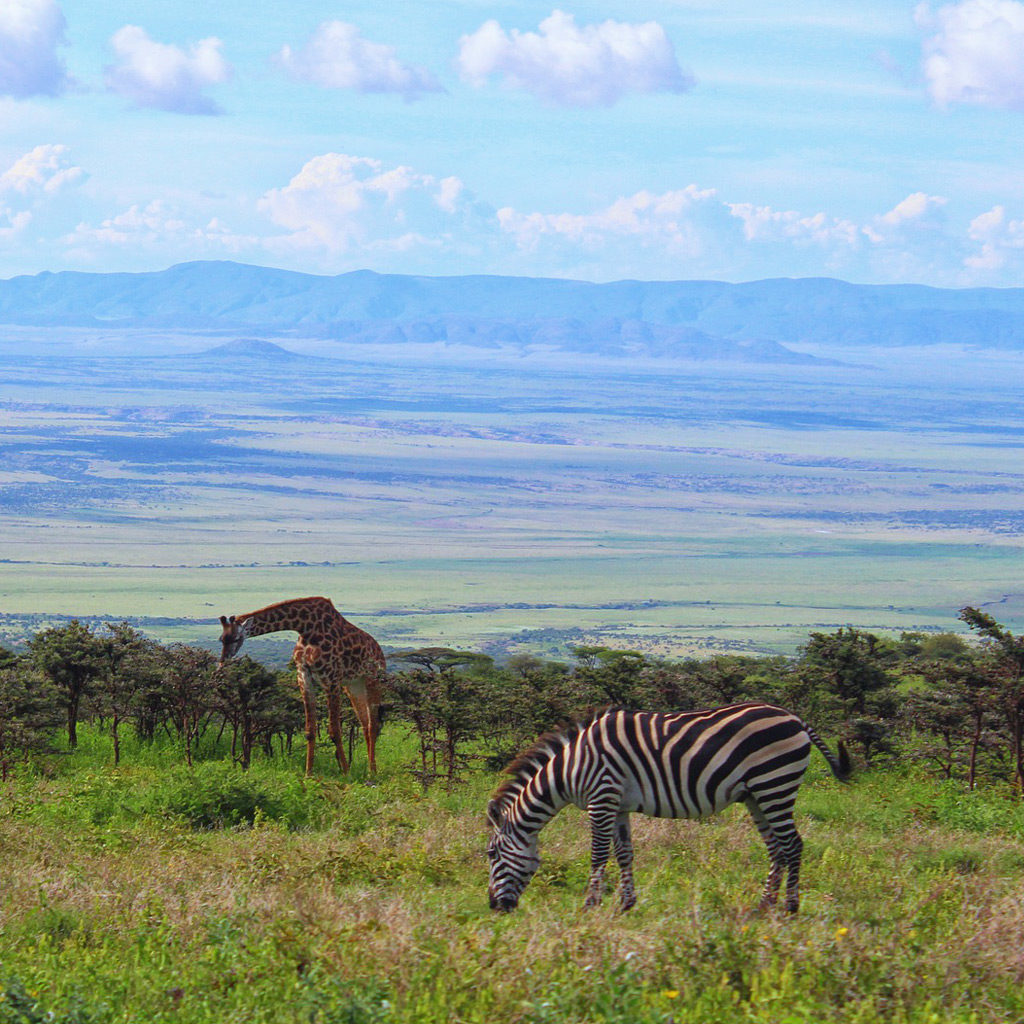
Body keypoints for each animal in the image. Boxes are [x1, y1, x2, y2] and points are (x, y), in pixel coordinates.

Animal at [218, 598, 385, 770]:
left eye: (236, 639)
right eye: (221, 639)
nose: (223, 661)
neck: (305, 628)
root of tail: (379, 651)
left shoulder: (331, 678)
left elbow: (335, 731)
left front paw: (346, 771)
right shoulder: (304, 675)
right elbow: (310, 731)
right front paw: (308, 773)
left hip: (373, 680)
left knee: (373, 725)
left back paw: (372, 771)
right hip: (353, 686)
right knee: (365, 724)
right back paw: (369, 768)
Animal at [485, 704, 847, 913]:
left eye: (491, 855)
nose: (493, 907)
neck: (570, 768)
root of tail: (795, 717)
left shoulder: (601, 798)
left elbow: (598, 855)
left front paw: (590, 905)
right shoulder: (618, 805)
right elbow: (624, 854)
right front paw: (626, 904)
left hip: (775, 783)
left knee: (793, 844)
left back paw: (790, 907)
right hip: (756, 795)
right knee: (777, 848)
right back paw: (763, 906)